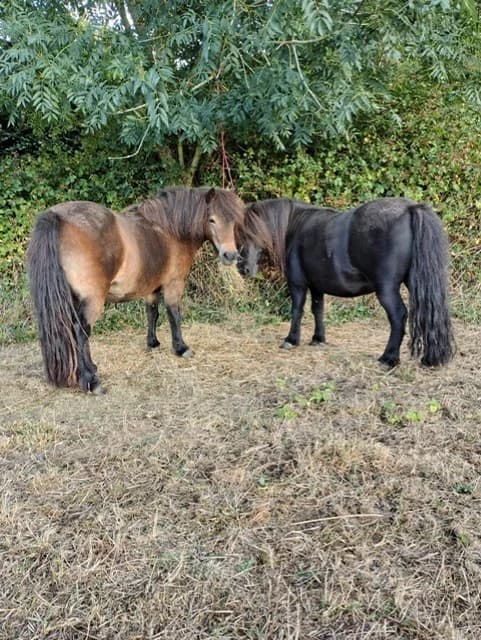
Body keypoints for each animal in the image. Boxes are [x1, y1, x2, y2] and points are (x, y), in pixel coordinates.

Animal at [28, 187, 244, 393]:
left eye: (234, 221)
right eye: (212, 219)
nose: (230, 255)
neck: (169, 232)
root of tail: (57, 216)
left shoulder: (151, 288)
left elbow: (152, 314)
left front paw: (153, 343)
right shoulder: (174, 284)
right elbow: (174, 314)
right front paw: (181, 348)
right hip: (91, 301)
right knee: (81, 333)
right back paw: (92, 381)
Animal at [237, 197, 455, 368]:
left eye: (250, 232)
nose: (243, 268)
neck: (295, 225)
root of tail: (410, 208)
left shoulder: (298, 284)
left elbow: (297, 311)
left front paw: (291, 340)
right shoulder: (316, 286)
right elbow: (318, 310)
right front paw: (318, 339)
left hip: (386, 289)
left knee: (398, 316)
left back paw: (388, 358)